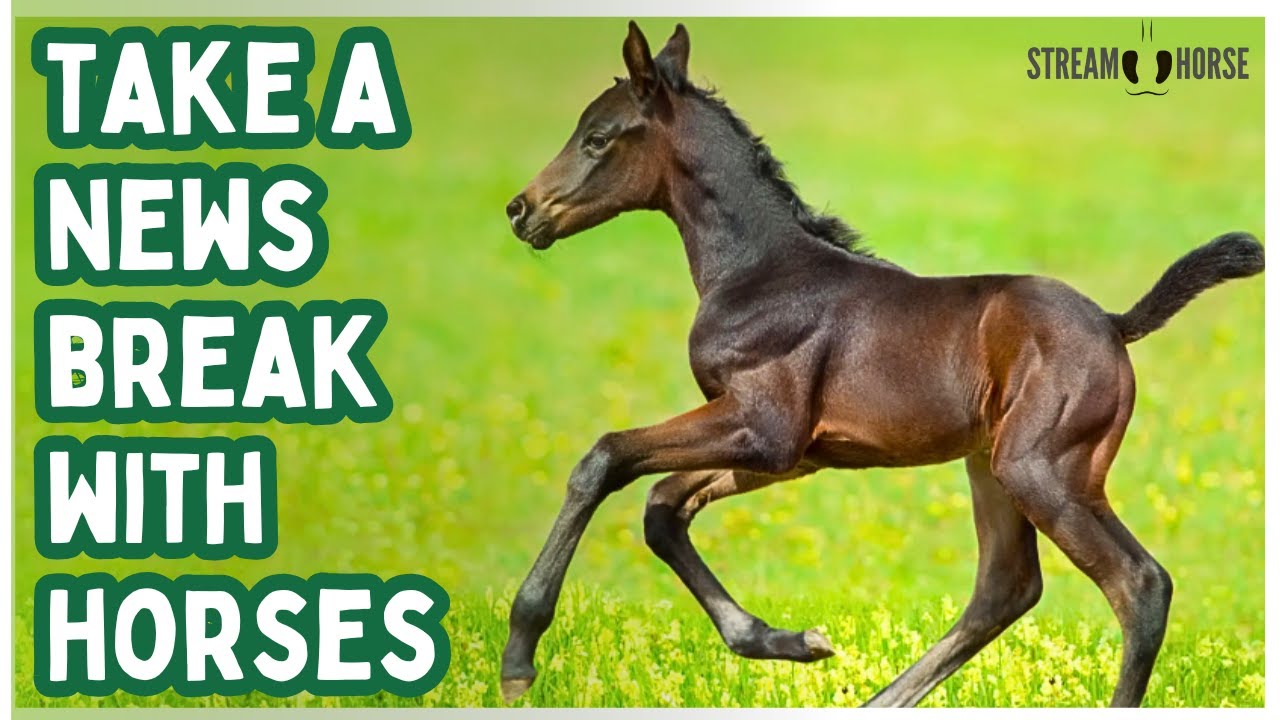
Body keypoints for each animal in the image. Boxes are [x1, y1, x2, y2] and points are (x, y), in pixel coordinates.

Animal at [498, 21, 1264, 707]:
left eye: (598, 138)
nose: (519, 210)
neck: (758, 271)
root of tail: (1112, 322)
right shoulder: (793, 454)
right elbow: (662, 509)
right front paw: (789, 642)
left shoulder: (764, 429)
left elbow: (604, 458)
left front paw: (520, 655)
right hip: (992, 465)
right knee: (1006, 587)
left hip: (1041, 468)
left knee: (1138, 584)